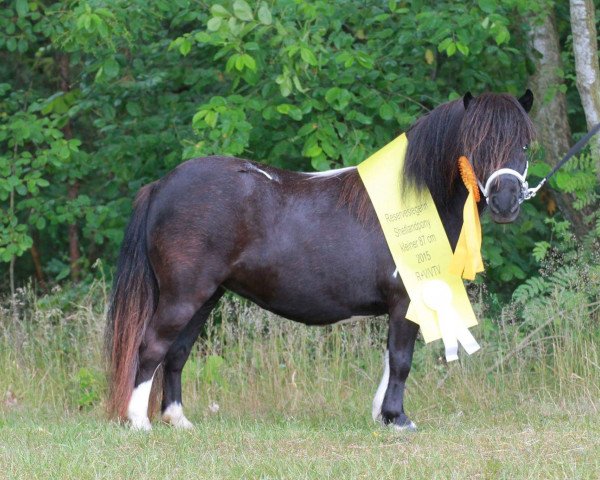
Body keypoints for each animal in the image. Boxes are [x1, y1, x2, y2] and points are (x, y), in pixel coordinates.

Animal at [106, 92, 536, 430]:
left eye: (525, 145)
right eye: (477, 142)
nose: (506, 201)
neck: (415, 198)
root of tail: (161, 186)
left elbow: (389, 359)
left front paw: (382, 415)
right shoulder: (405, 300)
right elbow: (400, 359)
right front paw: (398, 419)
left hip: (205, 298)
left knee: (176, 353)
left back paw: (178, 420)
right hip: (184, 296)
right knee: (151, 347)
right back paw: (139, 422)